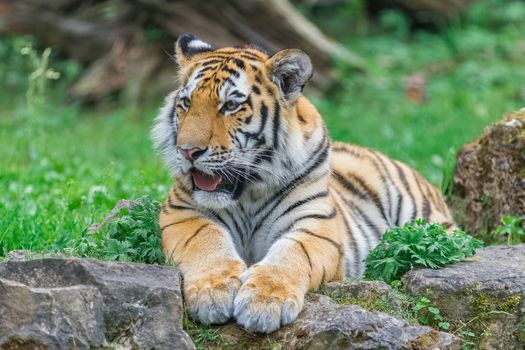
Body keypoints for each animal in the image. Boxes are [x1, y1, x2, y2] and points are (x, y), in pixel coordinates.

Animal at [151, 32, 454, 334]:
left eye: (231, 106)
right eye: (187, 103)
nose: (187, 151)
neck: (248, 193)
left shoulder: (316, 224)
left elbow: (291, 254)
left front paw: (264, 303)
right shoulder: (182, 212)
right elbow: (206, 242)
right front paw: (213, 293)